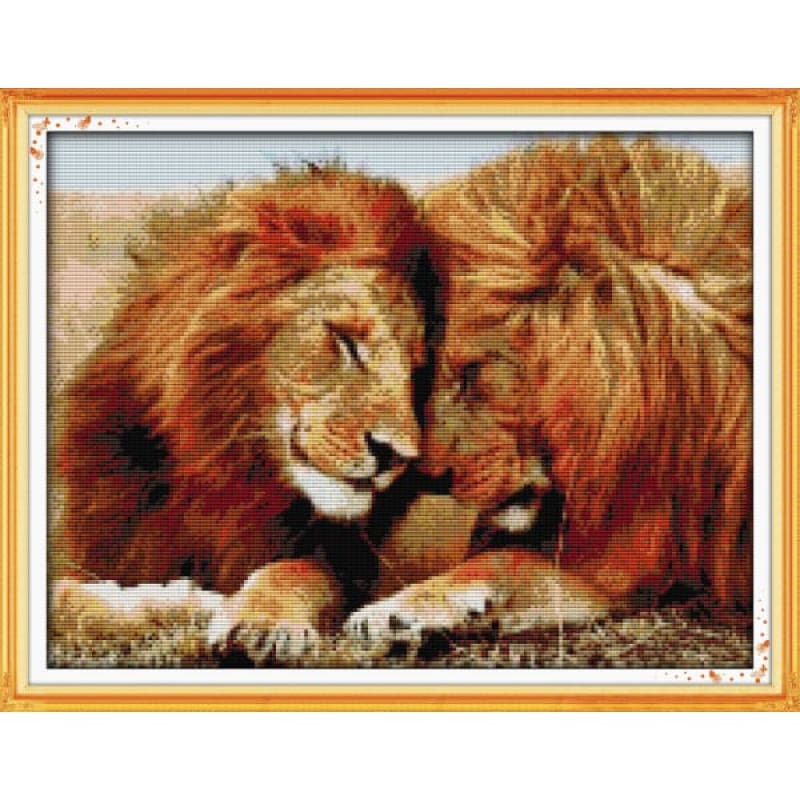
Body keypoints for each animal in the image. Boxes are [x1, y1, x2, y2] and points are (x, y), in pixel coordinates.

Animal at [52, 167, 428, 659]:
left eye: (416, 370)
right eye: (345, 339)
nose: (399, 457)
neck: (223, 473)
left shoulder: (347, 564)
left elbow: (294, 571)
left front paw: (258, 623)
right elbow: (67, 601)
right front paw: (187, 601)